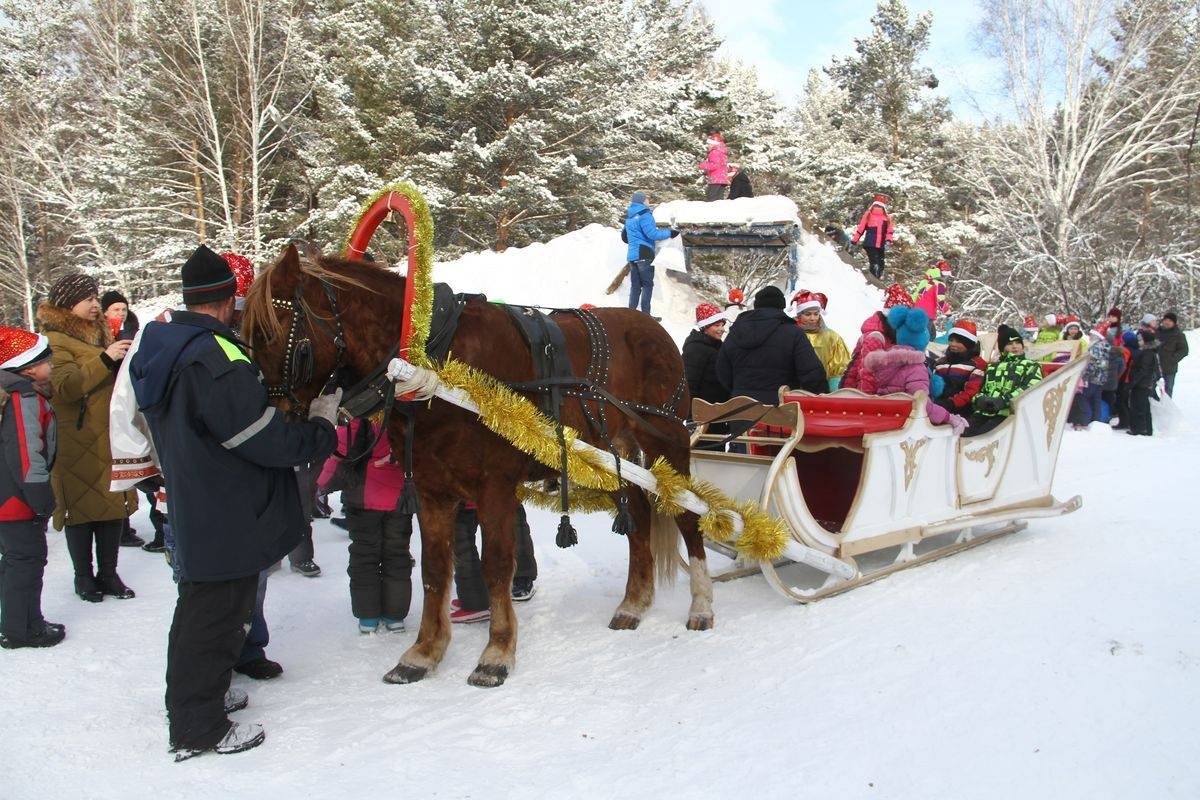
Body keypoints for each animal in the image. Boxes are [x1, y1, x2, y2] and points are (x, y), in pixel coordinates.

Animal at [243, 245, 710, 690]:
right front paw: (423, 653)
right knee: (640, 516)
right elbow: (434, 570)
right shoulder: (432, 492)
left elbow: (497, 568)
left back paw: (702, 604)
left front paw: (496, 654)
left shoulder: (494, 489)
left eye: (270, 332)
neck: (434, 364)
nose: (270, 422)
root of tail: (654, 328)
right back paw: (634, 603)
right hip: (607, 456)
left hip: (668, 439)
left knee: (689, 514)